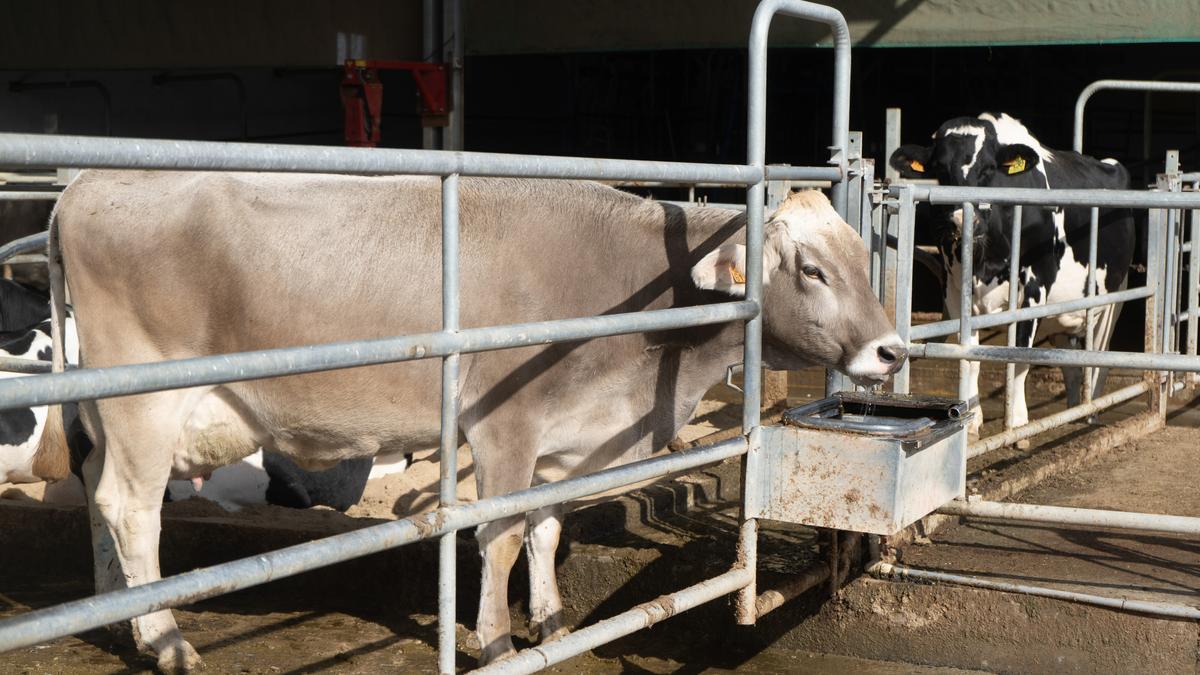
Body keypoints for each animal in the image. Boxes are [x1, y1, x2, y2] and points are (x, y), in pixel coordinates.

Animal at [892, 111, 1132, 429]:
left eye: (988, 169)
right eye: (940, 169)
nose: (962, 221)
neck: (985, 260)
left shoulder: (1034, 288)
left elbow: (1018, 357)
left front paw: (1017, 422)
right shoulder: (954, 289)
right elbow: (969, 357)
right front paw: (972, 421)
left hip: (1111, 301)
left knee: (1096, 363)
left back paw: (1089, 414)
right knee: (1069, 363)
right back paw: (1071, 413)